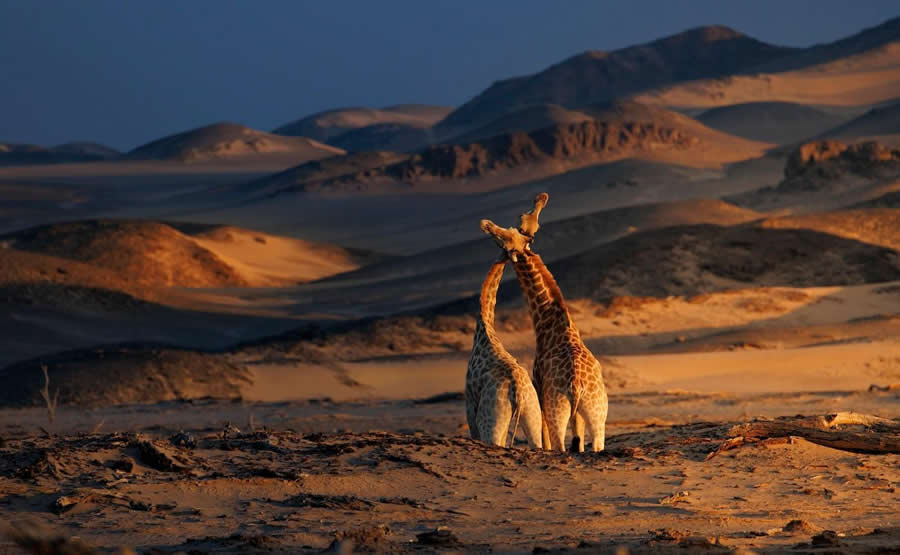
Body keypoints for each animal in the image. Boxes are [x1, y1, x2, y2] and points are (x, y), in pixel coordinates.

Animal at [480, 193, 608, 452]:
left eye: (503, 237)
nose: (485, 223)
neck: (551, 323)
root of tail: (576, 385)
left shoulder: (539, 388)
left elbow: (544, 437)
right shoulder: (578, 414)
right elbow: (578, 442)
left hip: (556, 407)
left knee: (558, 444)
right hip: (597, 411)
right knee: (597, 444)